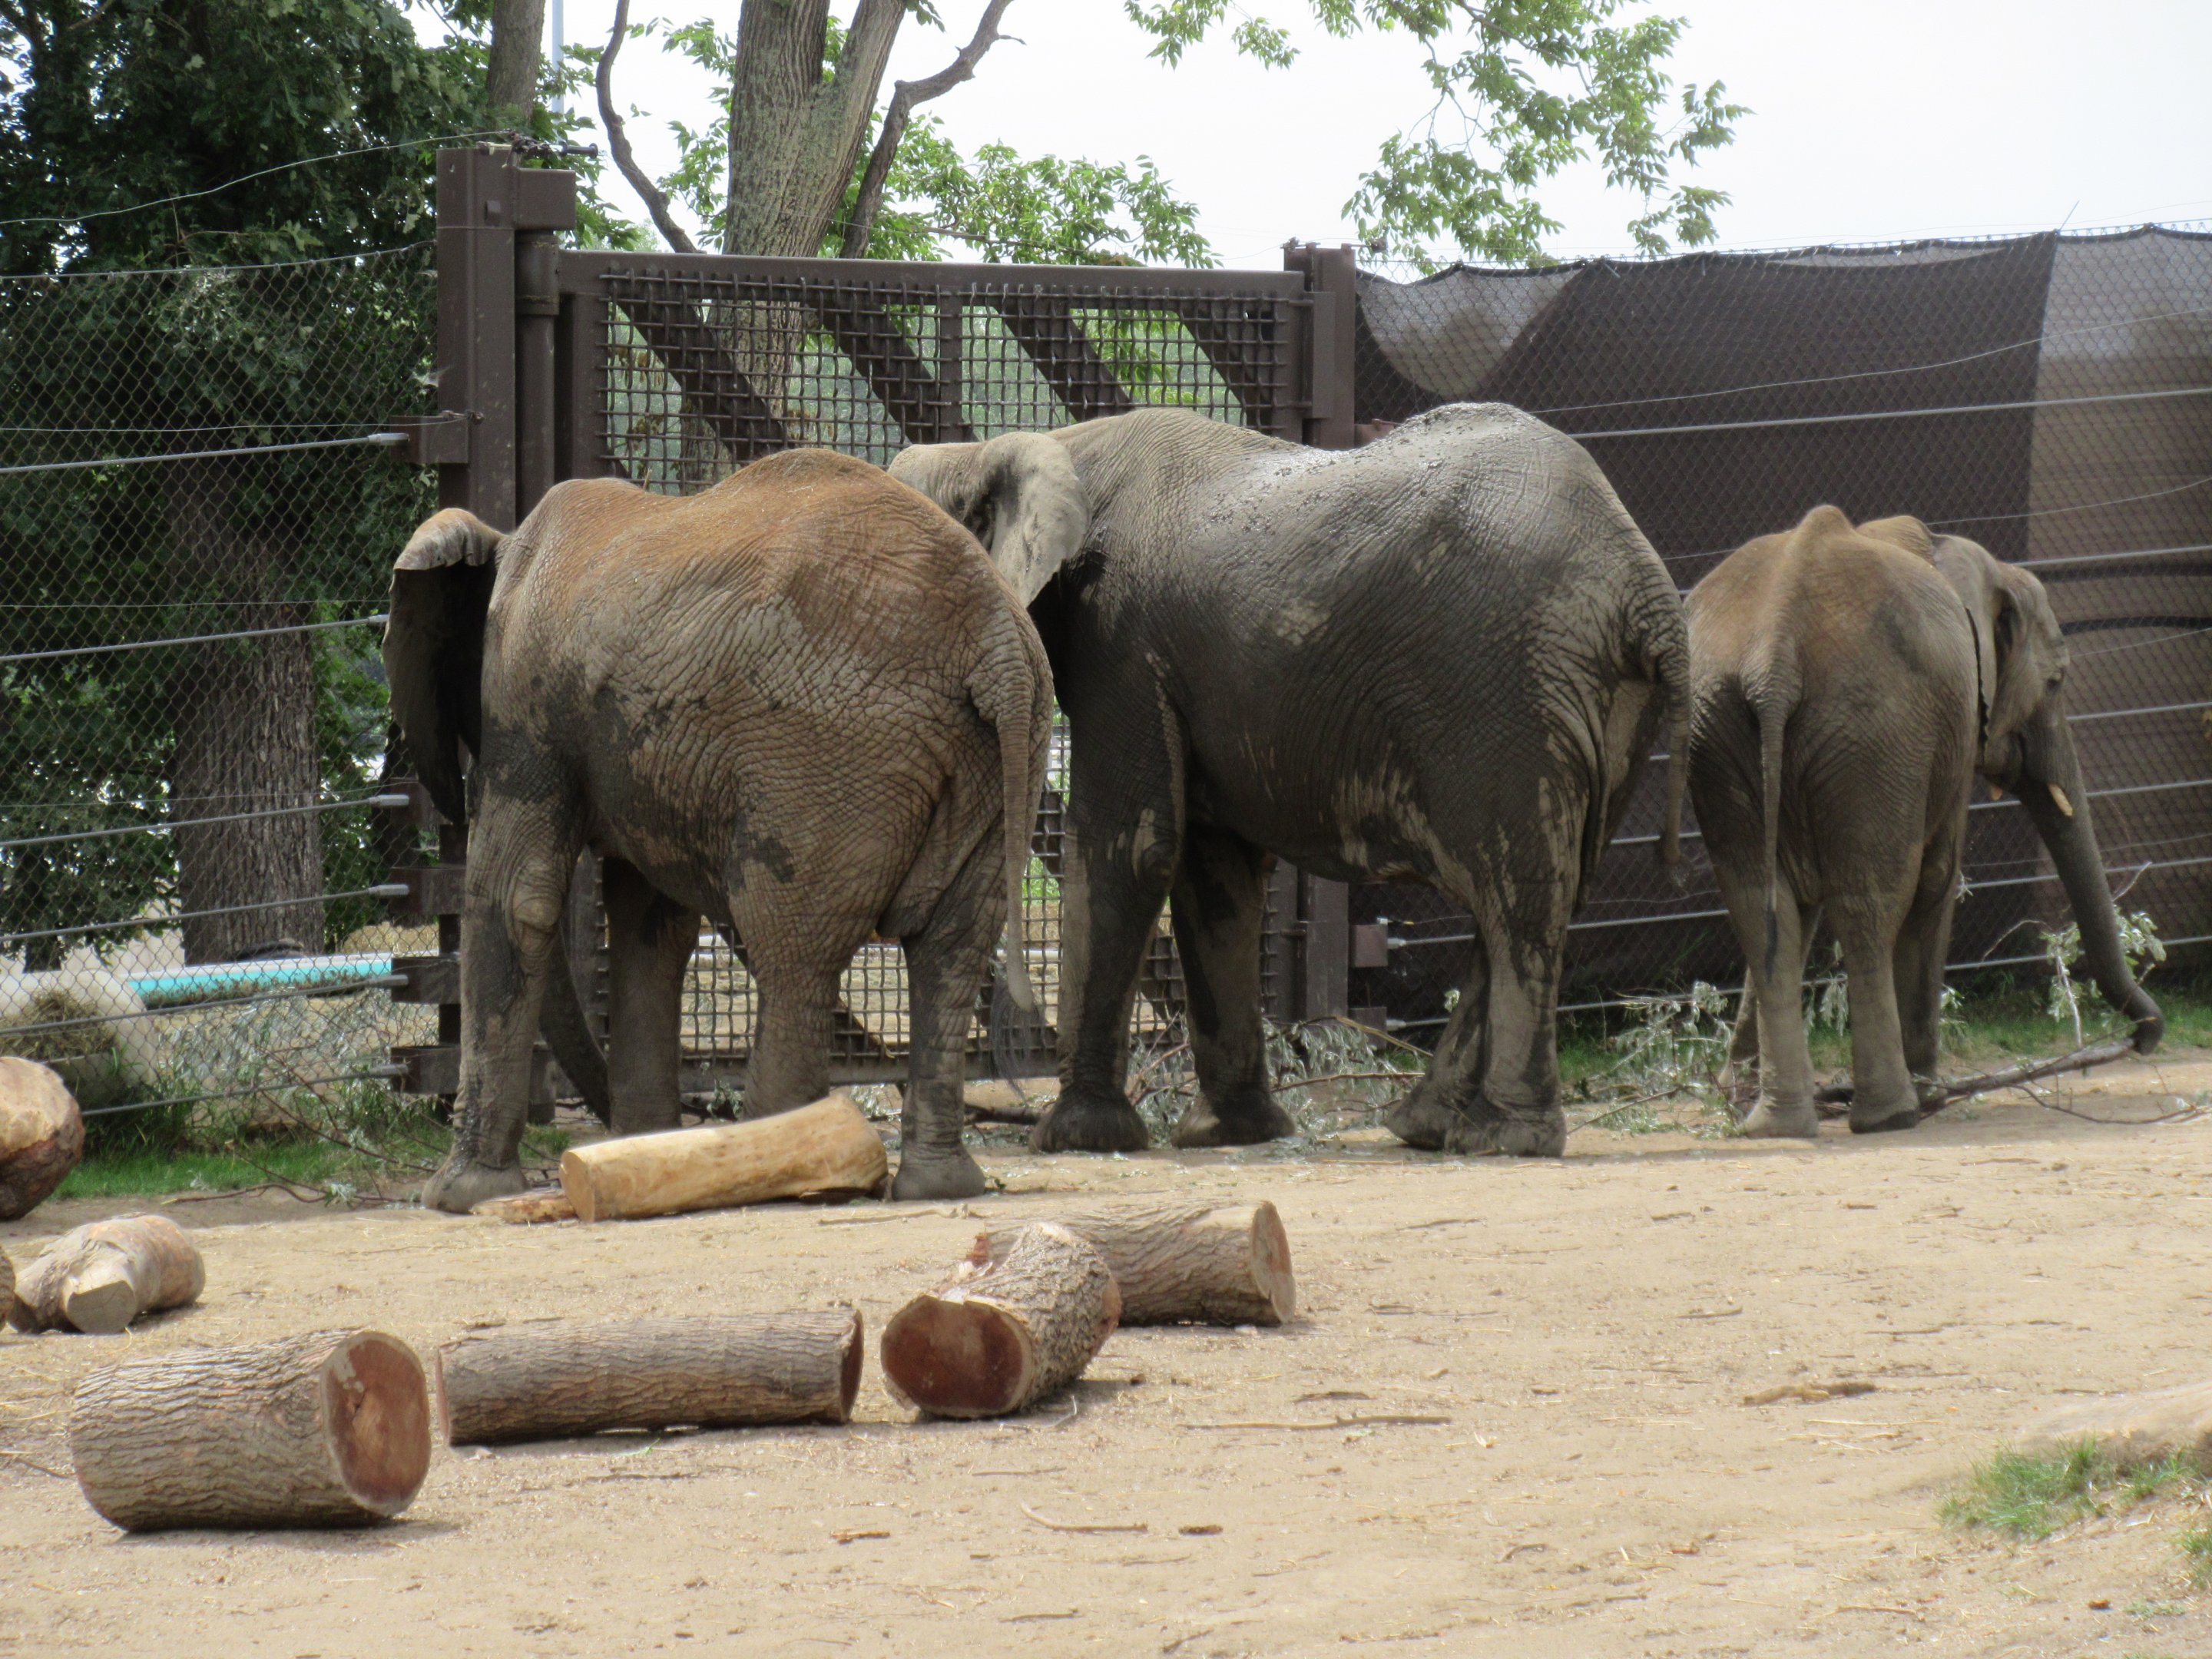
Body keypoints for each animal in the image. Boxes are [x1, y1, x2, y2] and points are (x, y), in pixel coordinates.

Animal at [383, 448, 1053, 1212]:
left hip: (826, 758)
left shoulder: (528, 704)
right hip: (1007, 757)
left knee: (790, 944)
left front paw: (457, 1196)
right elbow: (651, 927)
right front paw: (643, 1156)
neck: (499, 545)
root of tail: (996, 640)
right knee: (951, 948)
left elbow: (515, 899)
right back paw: (934, 1184)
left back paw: (783, 1172)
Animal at [889, 403, 1689, 1159]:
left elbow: (1129, 849)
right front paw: (1227, 1133)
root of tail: (1647, 587)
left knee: (1518, 898)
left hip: (1509, 687)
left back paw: (1499, 1138)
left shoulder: (1123, 639)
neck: (1034, 445)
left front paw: (1073, 1137)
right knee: (1542, 891)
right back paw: (1424, 1127)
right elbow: (1215, 874)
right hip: (1597, 707)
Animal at [1685, 506, 2161, 1138]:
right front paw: (1933, 1096)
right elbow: (1937, 879)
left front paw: (1733, 1095)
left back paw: (1774, 1124)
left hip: (1719, 724)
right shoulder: (1954, 723)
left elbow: (1793, 911)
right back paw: (1896, 1112)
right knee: (1872, 900)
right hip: (1876, 732)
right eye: (2056, 683)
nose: (2141, 1039)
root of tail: (1773, 658)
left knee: (1759, 901)